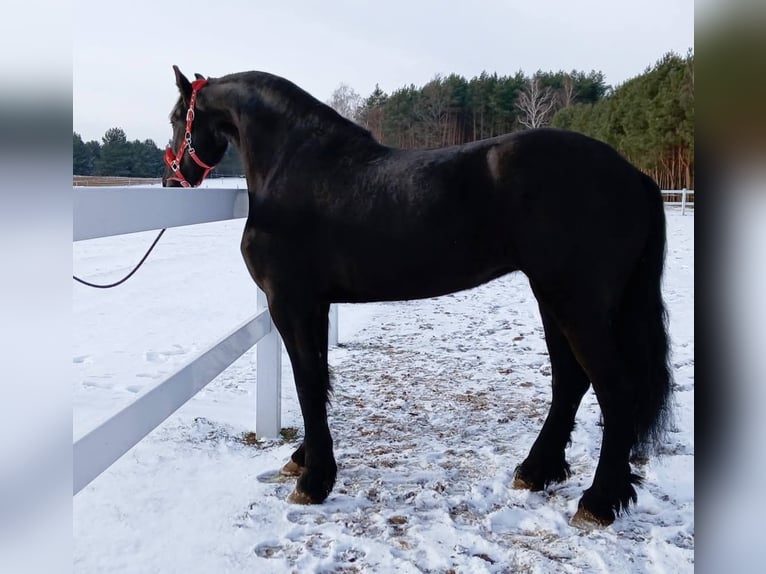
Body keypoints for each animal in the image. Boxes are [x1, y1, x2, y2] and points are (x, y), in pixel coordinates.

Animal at [164, 66, 672, 528]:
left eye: (174, 118)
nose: (172, 181)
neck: (294, 165)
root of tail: (634, 175)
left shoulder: (290, 302)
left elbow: (308, 383)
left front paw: (314, 481)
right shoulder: (315, 305)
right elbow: (319, 380)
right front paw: (305, 459)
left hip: (578, 305)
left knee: (614, 389)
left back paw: (598, 502)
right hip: (553, 299)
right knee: (570, 382)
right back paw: (536, 471)